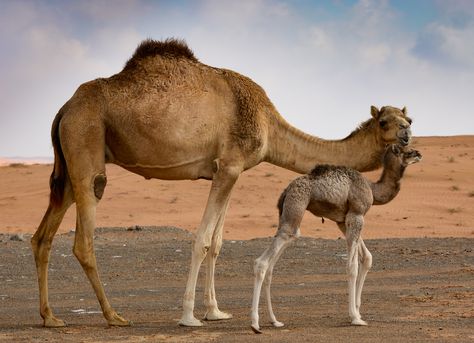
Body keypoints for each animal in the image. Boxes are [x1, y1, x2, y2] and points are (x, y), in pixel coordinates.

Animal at [250, 144, 420, 334]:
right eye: (407, 150)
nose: (419, 154)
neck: (372, 189)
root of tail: (285, 191)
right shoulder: (357, 214)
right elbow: (352, 266)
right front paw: (355, 318)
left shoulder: (342, 221)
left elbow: (366, 257)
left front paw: (358, 311)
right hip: (296, 206)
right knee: (263, 262)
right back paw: (255, 324)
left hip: (289, 217)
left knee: (273, 264)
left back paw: (275, 321)